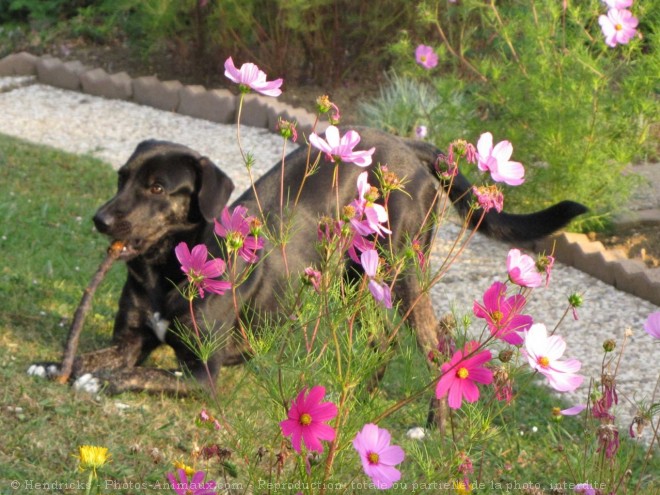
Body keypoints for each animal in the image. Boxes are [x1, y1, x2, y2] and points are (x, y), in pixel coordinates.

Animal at [29, 128, 588, 396]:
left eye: (157, 188)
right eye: (121, 177)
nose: (100, 220)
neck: (169, 270)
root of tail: (411, 147)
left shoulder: (204, 375)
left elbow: (138, 377)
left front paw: (98, 381)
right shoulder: (130, 343)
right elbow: (95, 356)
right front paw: (54, 364)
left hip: (404, 272)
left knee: (436, 350)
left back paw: (430, 423)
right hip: (357, 276)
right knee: (380, 339)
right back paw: (361, 395)